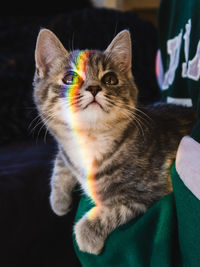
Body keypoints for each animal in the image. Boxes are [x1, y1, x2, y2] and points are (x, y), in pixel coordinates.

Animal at [33, 28, 196, 255]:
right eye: (69, 78)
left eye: (110, 79)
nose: (94, 88)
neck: (91, 139)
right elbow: (62, 159)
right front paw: (59, 200)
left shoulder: (151, 192)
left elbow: (119, 208)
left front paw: (88, 232)